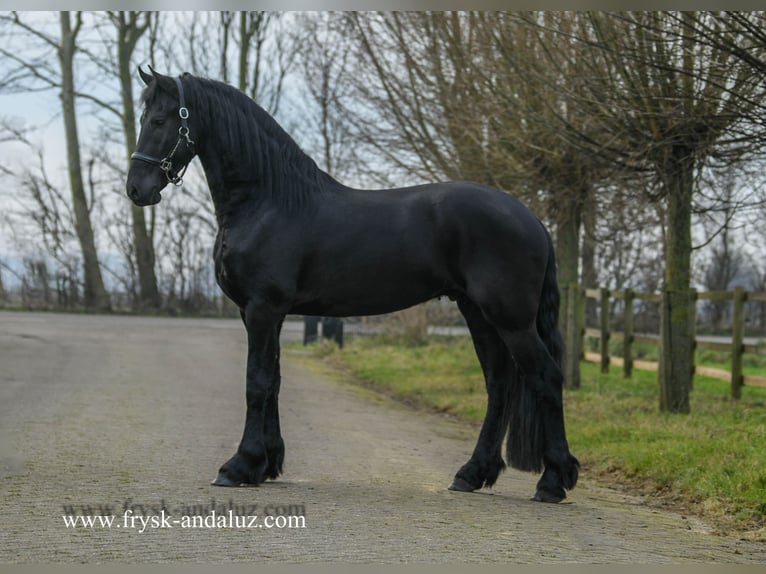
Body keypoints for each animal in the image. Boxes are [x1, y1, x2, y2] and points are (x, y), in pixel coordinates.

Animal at [127, 68, 584, 504]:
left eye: (160, 119)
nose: (136, 189)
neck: (269, 202)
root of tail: (530, 219)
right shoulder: (264, 314)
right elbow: (273, 381)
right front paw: (267, 464)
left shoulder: (262, 309)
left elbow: (256, 382)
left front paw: (239, 466)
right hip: (477, 313)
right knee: (499, 384)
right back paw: (472, 474)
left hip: (511, 319)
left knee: (545, 378)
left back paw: (552, 481)